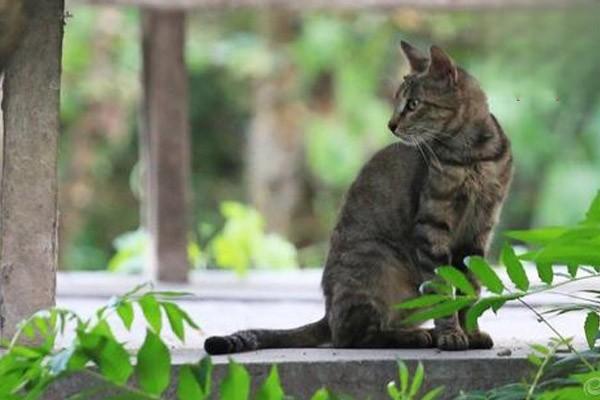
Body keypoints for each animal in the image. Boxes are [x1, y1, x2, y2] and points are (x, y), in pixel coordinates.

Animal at [205, 40, 510, 354]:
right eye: (397, 101)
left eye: (413, 104)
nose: (391, 124)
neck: (473, 155)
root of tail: (327, 314)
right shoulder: (432, 226)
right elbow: (442, 288)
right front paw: (451, 334)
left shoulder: (479, 231)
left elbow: (469, 289)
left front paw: (471, 333)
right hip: (377, 262)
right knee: (352, 336)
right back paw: (415, 336)